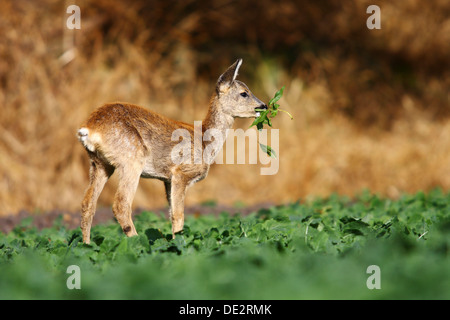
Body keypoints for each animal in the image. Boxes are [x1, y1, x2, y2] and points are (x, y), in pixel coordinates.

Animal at [77, 58, 268, 244]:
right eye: (244, 93)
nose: (264, 106)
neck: (205, 141)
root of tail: (89, 129)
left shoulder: (167, 179)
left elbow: (171, 215)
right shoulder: (181, 173)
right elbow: (178, 215)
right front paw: (178, 245)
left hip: (99, 163)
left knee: (87, 203)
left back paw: (86, 245)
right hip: (131, 159)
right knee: (121, 204)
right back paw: (138, 243)